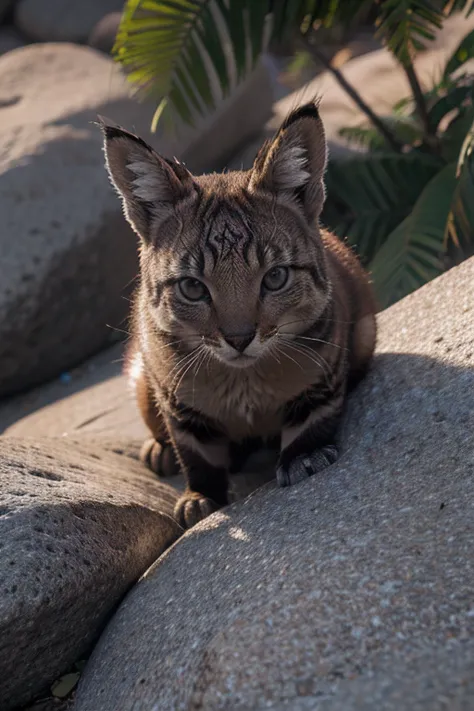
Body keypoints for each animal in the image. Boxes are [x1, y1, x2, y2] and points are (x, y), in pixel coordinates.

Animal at [101, 103, 378, 532]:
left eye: (275, 278)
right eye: (192, 287)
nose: (240, 338)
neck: (243, 380)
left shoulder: (329, 363)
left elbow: (313, 415)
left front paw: (303, 456)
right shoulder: (172, 394)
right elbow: (196, 451)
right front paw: (201, 496)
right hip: (141, 377)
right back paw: (158, 450)